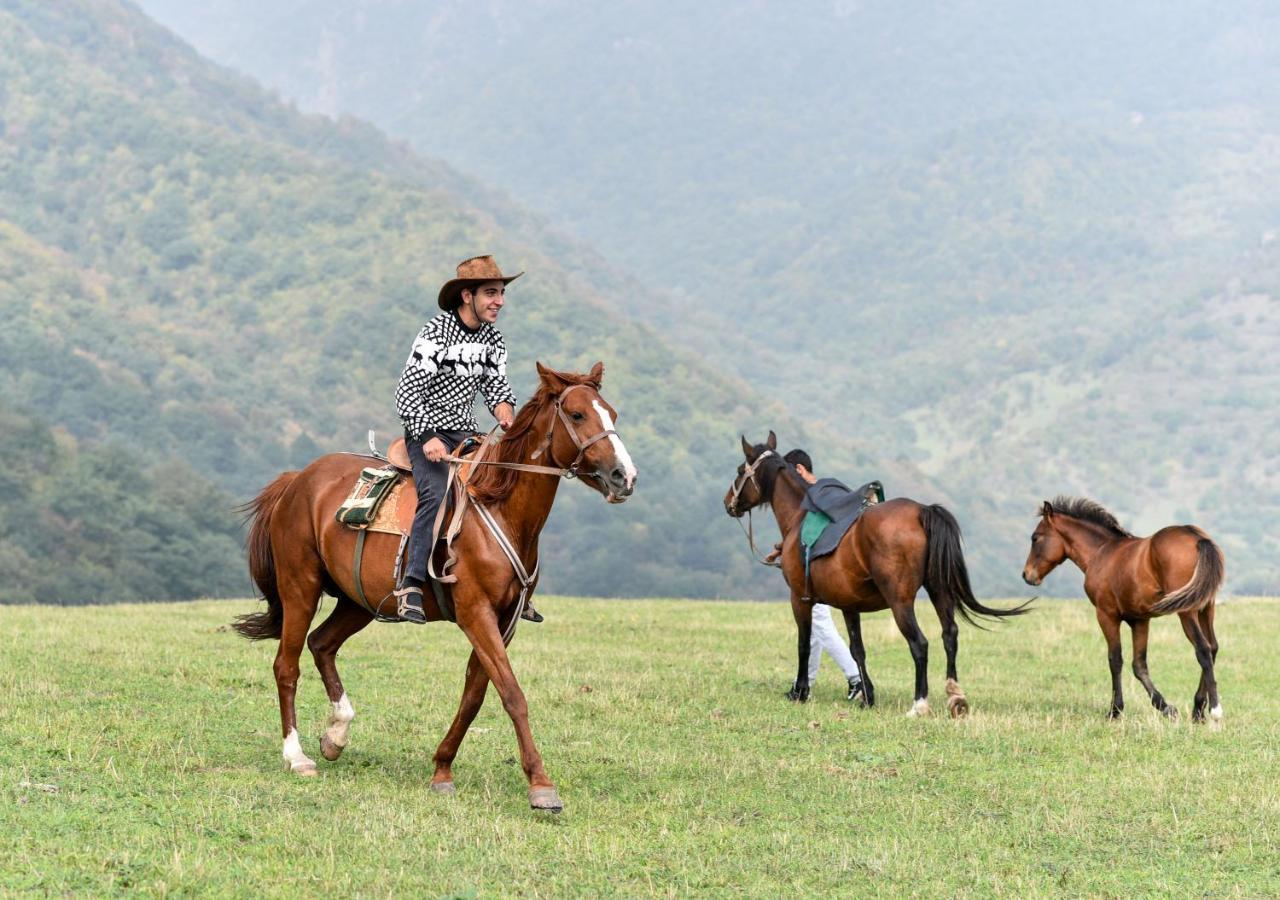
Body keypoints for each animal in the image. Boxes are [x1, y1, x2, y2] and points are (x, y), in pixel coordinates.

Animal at [232, 363, 637, 814]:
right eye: (578, 415)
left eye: (612, 414)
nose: (624, 476)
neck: (498, 505)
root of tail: (297, 481)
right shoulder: (476, 613)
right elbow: (511, 693)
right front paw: (541, 784)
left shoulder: (504, 622)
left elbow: (475, 695)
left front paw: (442, 769)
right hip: (299, 587)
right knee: (287, 666)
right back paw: (297, 756)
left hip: (361, 601)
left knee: (322, 644)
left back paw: (336, 735)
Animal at [727, 435, 1024, 716]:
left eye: (741, 470)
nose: (728, 502)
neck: (799, 517)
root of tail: (922, 511)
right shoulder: (848, 606)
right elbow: (857, 649)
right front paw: (867, 696)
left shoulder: (800, 599)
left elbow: (804, 645)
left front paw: (800, 691)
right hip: (939, 591)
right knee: (949, 635)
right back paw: (955, 696)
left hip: (900, 601)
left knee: (920, 644)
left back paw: (919, 704)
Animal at [1018, 499, 1228, 727]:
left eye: (1035, 537)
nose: (1027, 575)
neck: (1101, 552)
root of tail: (1197, 538)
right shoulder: (1140, 620)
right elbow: (1139, 665)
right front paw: (1166, 708)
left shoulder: (1106, 614)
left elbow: (1115, 660)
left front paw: (1115, 710)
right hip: (1206, 608)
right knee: (1213, 647)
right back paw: (1198, 710)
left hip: (1187, 612)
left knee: (1203, 650)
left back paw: (1214, 711)